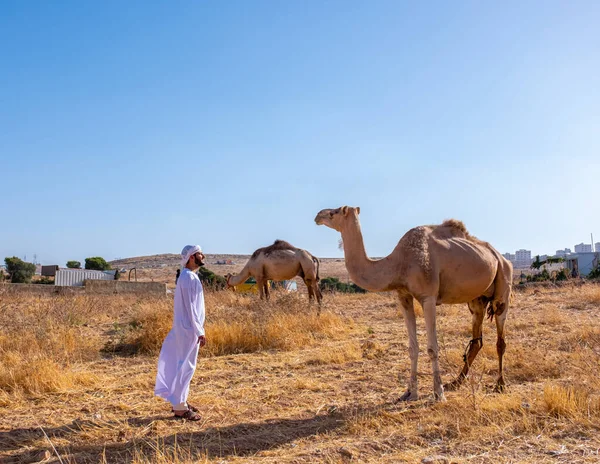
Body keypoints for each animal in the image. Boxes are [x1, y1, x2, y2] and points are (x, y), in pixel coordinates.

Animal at [312, 205, 512, 400]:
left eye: (334, 212)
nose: (318, 215)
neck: (399, 263)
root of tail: (500, 256)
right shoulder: (403, 296)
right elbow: (412, 347)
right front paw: (410, 392)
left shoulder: (428, 297)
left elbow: (432, 348)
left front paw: (438, 393)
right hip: (477, 300)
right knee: (476, 340)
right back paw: (456, 382)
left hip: (503, 283)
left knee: (500, 339)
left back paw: (499, 385)